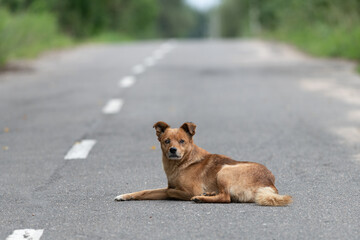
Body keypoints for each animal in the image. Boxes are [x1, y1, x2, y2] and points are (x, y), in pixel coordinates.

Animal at [115, 122, 292, 206]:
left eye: (182, 141)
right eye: (167, 141)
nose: (173, 150)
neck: (182, 163)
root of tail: (270, 184)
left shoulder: (189, 189)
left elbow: (170, 192)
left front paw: (197, 195)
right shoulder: (166, 186)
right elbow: (145, 192)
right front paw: (125, 196)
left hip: (225, 170)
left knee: (226, 198)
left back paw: (202, 198)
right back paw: (209, 194)